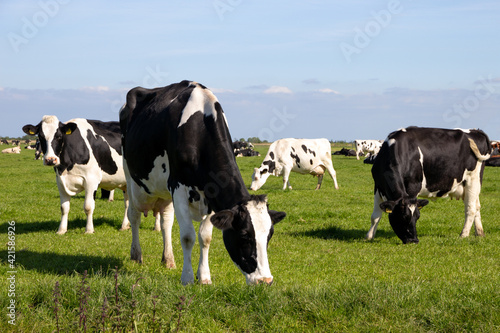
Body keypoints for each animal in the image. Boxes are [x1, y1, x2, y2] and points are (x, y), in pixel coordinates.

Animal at [119, 81, 288, 286]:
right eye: (244, 236)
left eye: (269, 235)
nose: (265, 280)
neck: (199, 128)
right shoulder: (178, 188)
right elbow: (187, 236)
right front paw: (187, 278)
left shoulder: (212, 194)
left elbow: (205, 237)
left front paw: (204, 276)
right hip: (131, 178)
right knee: (134, 215)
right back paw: (136, 254)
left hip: (164, 192)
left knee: (166, 222)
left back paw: (168, 259)